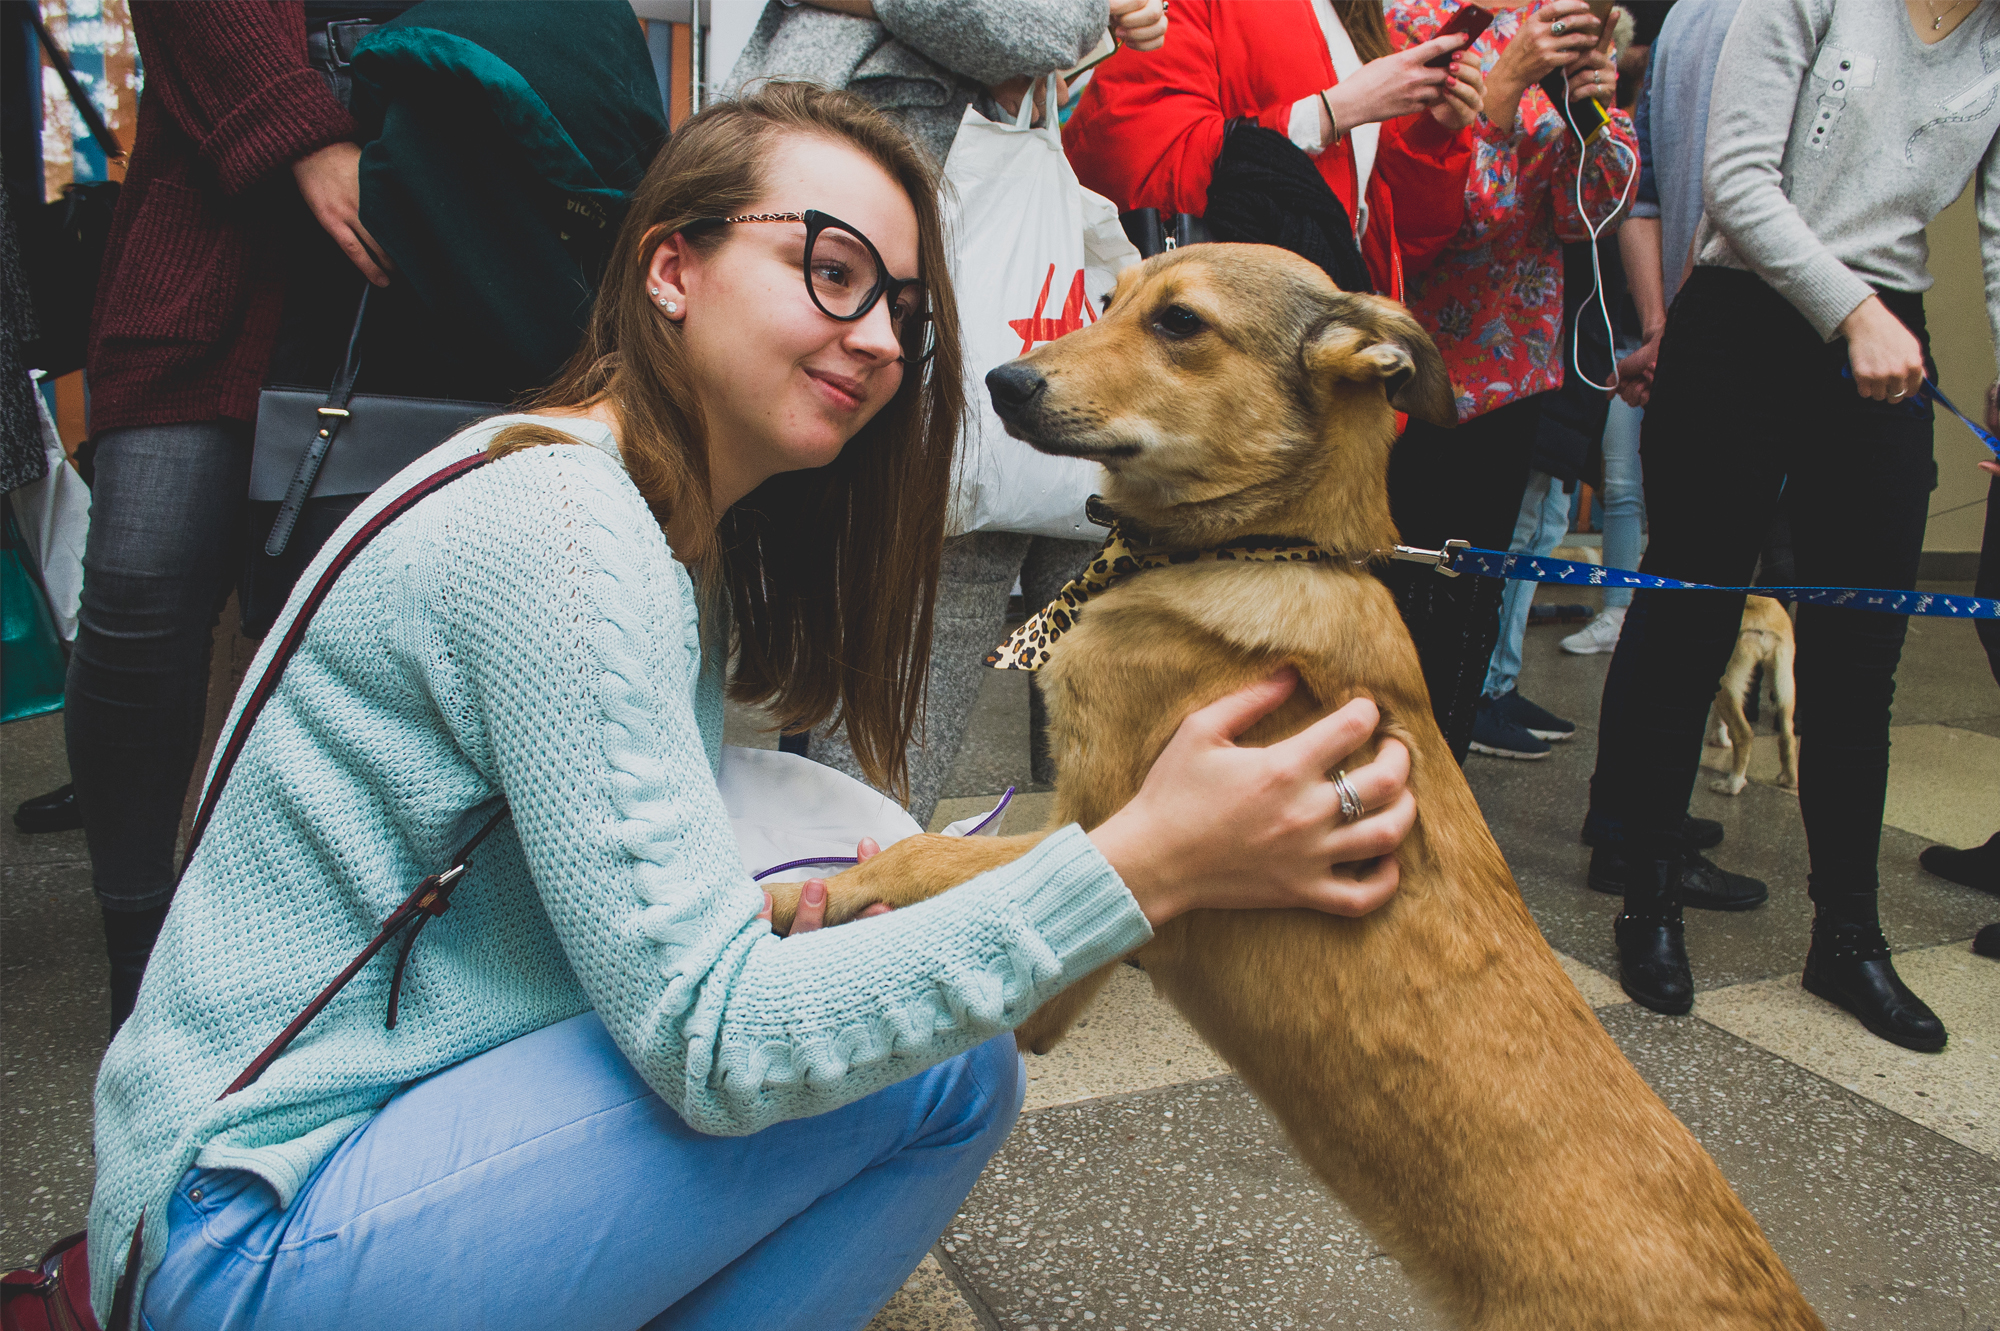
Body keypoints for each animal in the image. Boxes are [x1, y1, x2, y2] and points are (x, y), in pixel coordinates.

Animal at [1704, 591, 1800, 791]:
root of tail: (1762, 616)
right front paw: (1720, 741)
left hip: (1726, 678)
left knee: (1744, 734)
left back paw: (1732, 785)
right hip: (1785, 680)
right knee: (1788, 735)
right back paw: (1789, 780)